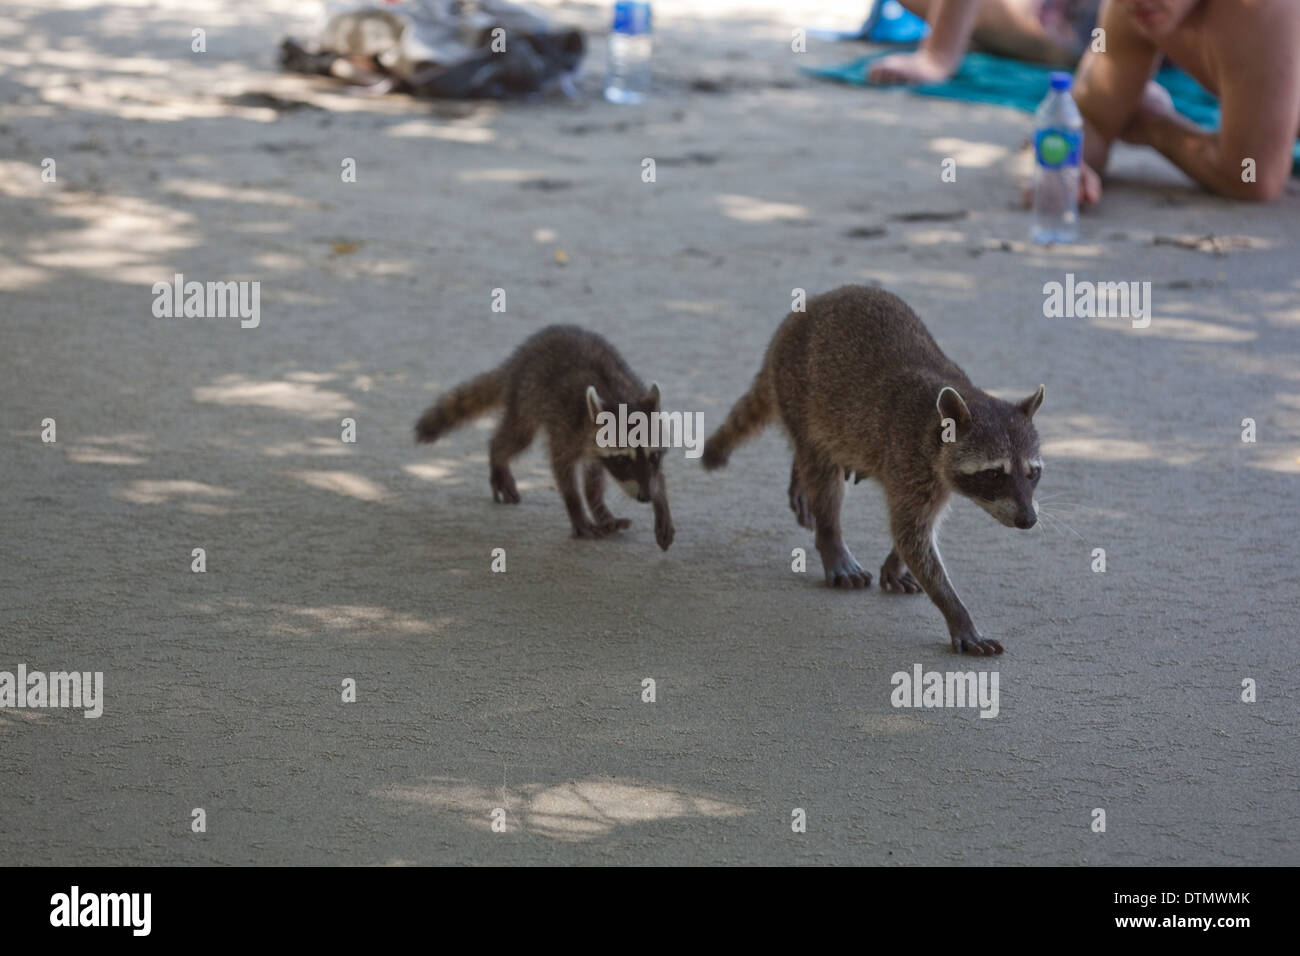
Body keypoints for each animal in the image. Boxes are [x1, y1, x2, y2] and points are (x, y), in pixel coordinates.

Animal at [416, 327, 676, 548]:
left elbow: (652, 476)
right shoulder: (567, 429)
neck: (619, 397)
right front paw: (576, 510)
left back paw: (601, 510)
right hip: (527, 397)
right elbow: (562, 468)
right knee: (515, 436)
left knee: (593, 474)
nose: (646, 496)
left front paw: (661, 501)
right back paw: (497, 456)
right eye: (622, 460)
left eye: (653, 457)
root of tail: (519, 357)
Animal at [702, 286, 1045, 658]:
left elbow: (917, 529)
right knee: (821, 473)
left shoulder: (937, 477)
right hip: (799, 389)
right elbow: (911, 533)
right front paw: (957, 612)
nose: (1028, 519)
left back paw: (799, 479)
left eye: (1032, 474)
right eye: (994, 473)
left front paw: (896, 562)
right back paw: (830, 538)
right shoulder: (910, 460)